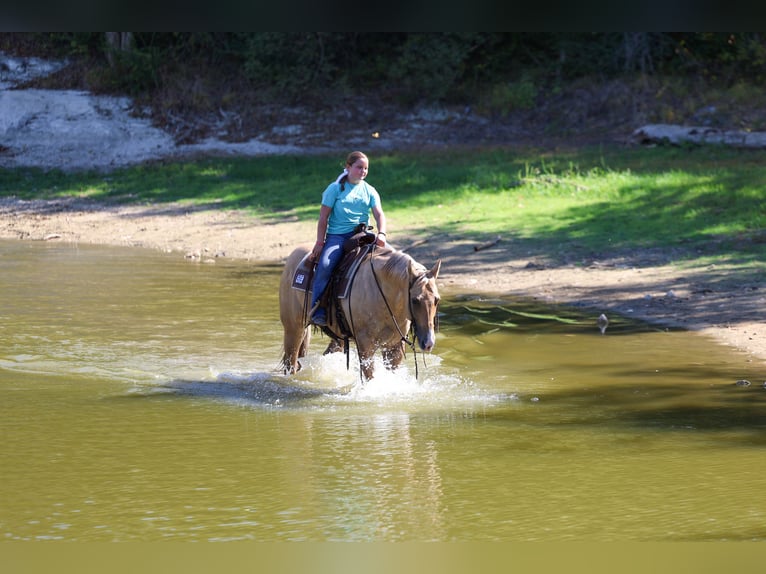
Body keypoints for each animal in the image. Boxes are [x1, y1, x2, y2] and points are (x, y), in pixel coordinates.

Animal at [279, 243, 441, 381]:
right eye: (415, 300)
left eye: (437, 300)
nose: (428, 343)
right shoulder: (366, 345)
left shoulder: (394, 347)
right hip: (294, 330)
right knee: (291, 363)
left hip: (336, 336)